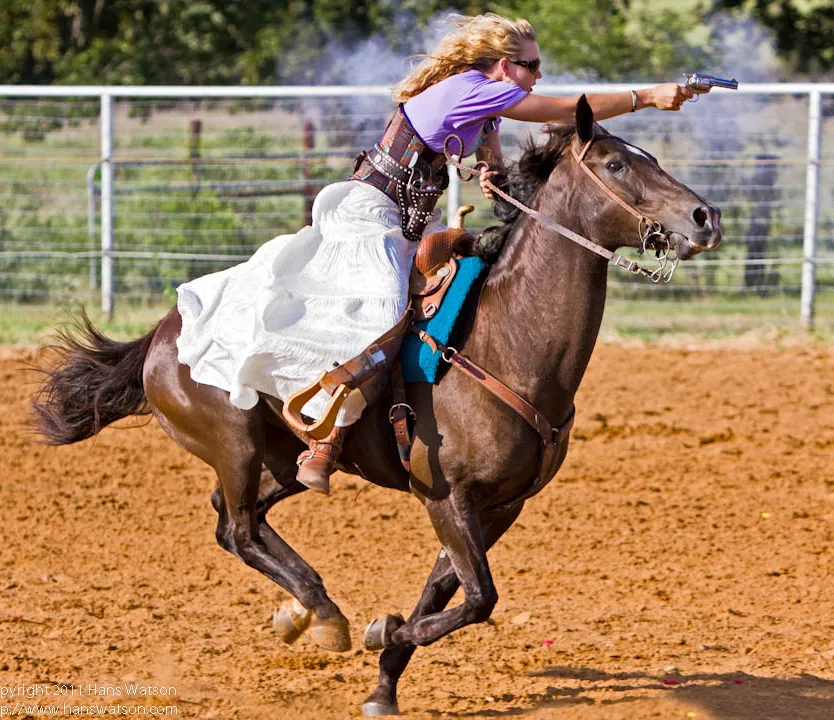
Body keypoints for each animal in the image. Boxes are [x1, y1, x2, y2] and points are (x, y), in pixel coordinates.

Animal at [35, 98, 720, 716]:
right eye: (616, 163)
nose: (705, 216)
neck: (507, 344)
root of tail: (162, 332)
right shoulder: (447, 495)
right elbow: (479, 598)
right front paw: (380, 632)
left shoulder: (501, 506)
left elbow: (448, 591)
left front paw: (384, 682)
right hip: (235, 444)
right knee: (239, 527)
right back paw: (326, 614)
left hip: (282, 462)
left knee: (234, 520)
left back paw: (303, 614)